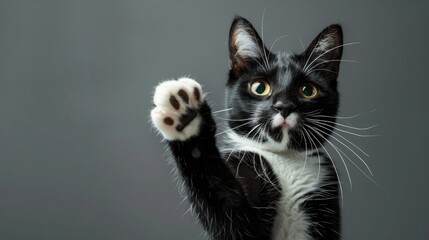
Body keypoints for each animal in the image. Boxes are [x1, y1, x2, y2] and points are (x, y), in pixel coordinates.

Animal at [151, 15, 344, 239]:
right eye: (260, 88)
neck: (283, 158)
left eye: (308, 90)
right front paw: (187, 115)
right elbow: (229, 214)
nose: (284, 106)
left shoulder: (324, 189)